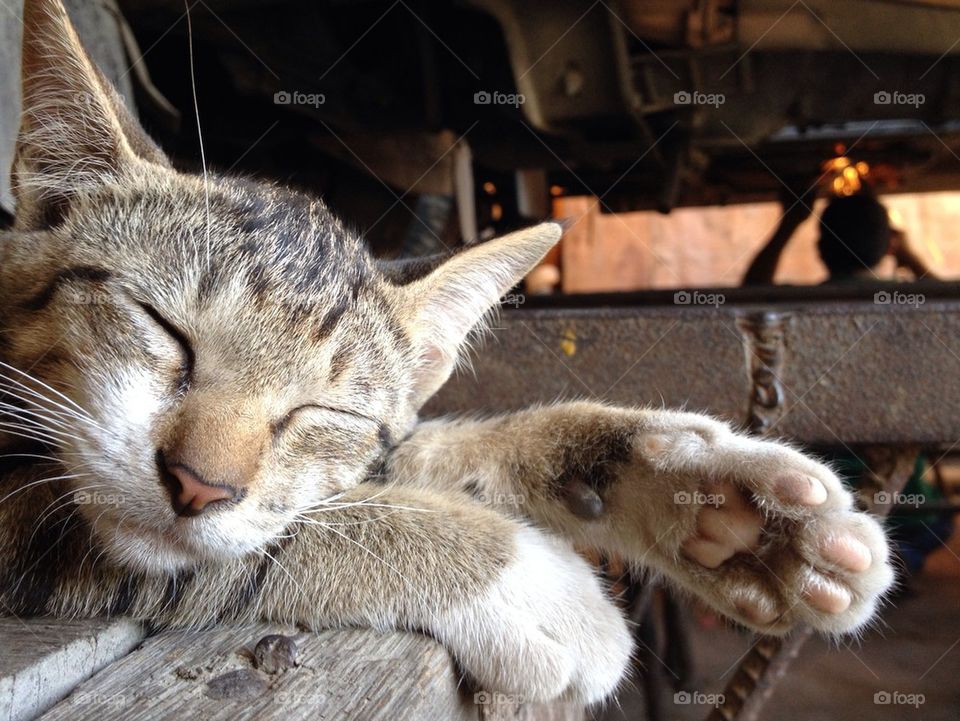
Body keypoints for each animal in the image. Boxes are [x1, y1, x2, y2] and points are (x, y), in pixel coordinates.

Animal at [3, 0, 896, 708]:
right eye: (162, 326)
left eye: (323, 411)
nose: (199, 484)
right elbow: (273, 539)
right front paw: (527, 578)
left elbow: (414, 459)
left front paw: (715, 496)